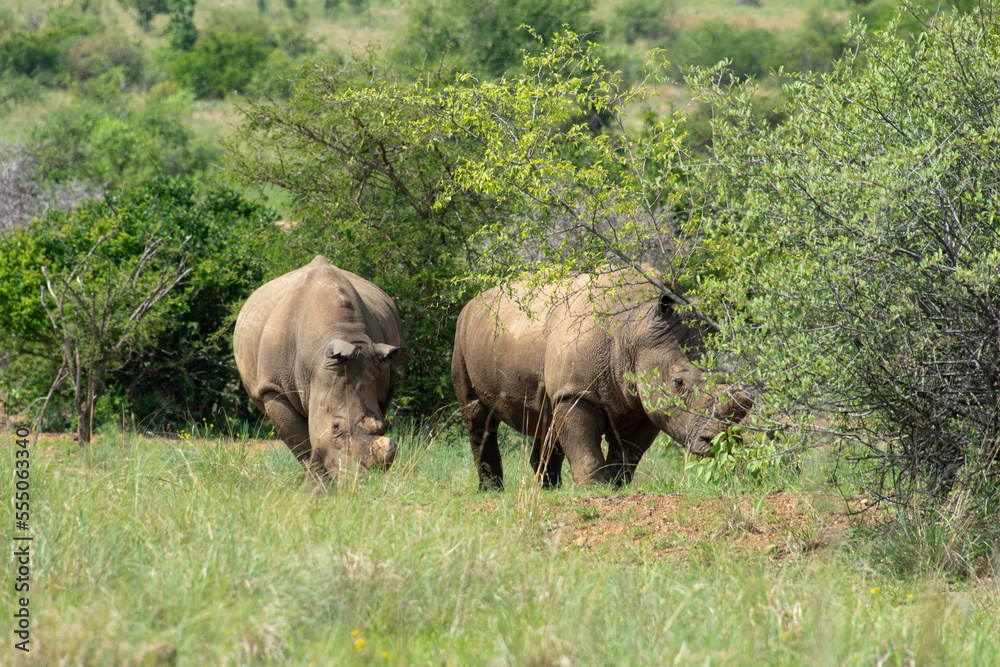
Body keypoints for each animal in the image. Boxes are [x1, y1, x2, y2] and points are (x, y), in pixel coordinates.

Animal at [234, 256, 409, 489]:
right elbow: (303, 445)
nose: (362, 483)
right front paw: (318, 489)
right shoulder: (273, 388)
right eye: (335, 427)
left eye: (383, 425)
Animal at [451, 269, 752, 489]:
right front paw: (594, 489)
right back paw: (493, 490)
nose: (719, 440)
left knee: (546, 417)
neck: (634, 331)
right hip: (462, 334)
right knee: (478, 417)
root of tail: (472, 302)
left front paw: (617, 486)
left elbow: (628, 452)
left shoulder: (643, 404)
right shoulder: (577, 392)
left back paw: (548, 490)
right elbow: (583, 444)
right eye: (679, 383)